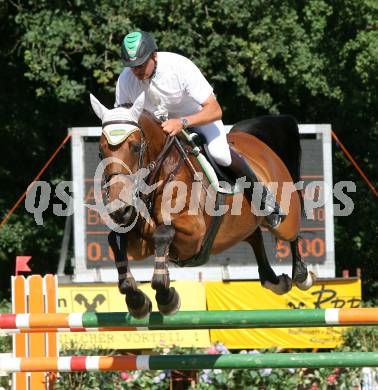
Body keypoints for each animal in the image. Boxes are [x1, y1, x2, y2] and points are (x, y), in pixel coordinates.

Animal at [90, 93, 314, 318]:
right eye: (100, 152)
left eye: (135, 147)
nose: (120, 211)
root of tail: (257, 142)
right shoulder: (139, 245)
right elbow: (115, 239)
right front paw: (137, 301)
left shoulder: (193, 235)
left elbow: (163, 233)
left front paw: (167, 297)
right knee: (255, 236)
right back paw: (275, 280)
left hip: (285, 220)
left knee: (292, 234)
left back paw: (302, 275)